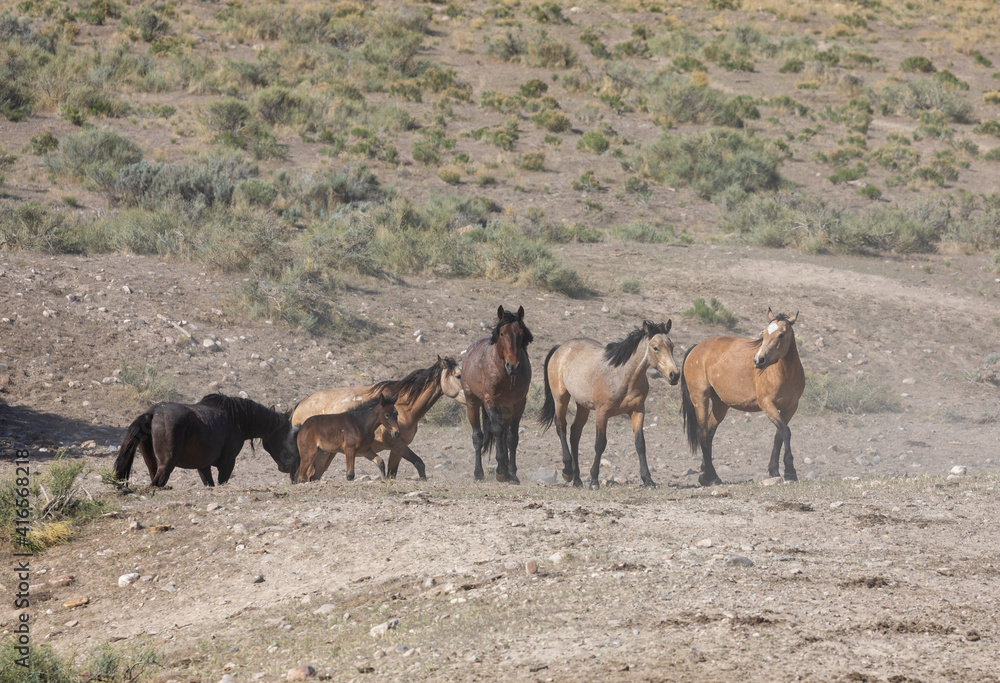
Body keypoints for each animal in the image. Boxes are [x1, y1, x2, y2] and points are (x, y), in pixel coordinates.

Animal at [114, 393, 295, 488]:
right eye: (286, 432)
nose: (289, 466)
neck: (236, 419)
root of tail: (152, 413)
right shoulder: (227, 464)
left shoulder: (203, 467)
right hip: (166, 466)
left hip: (153, 465)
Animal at [287, 356, 464, 481]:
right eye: (458, 376)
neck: (404, 406)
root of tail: (300, 405)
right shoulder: (396, 443)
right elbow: (419, 463)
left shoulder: (397, 447)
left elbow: (393, 473)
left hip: (325, 453)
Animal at [462, 305, 533, 484]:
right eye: (502, 333)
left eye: (521, 334)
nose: (513, 366)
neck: (506, 375)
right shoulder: (490, 401)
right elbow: (497, 430)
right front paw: (501, 471)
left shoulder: (518, 404)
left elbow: (512, 437)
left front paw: (512, 474)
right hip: (472, 402)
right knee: (478, 436)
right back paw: (478, 473)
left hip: (505, 409)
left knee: (505, 435)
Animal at [538, 320, 681, 489]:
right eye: (655, 347)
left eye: (672, 346)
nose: (674, 375)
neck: (623, 377)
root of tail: (560, 348)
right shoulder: (602, 413)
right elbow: (600, 444)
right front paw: (594, 480)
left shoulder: (638, 411)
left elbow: (640, 444)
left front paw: (648, 480)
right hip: (560, 398)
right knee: (561, 427)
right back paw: (567, 472)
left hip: (582, 405)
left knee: (574, 433)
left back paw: (577, 480)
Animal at [680, 308, 805, 486]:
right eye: (764, 333)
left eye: (781, 335)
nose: (759, 360)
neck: (785, 373)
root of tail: (696, 348)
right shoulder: (767, 404)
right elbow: (785, 432)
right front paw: (790, 471)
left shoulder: (790, 408)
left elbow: (779, 435)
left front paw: (774, 470)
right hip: (700, 398)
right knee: (702, 434)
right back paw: (712, 476)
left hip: (720, 404)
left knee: (709, 432)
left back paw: (706, 473)